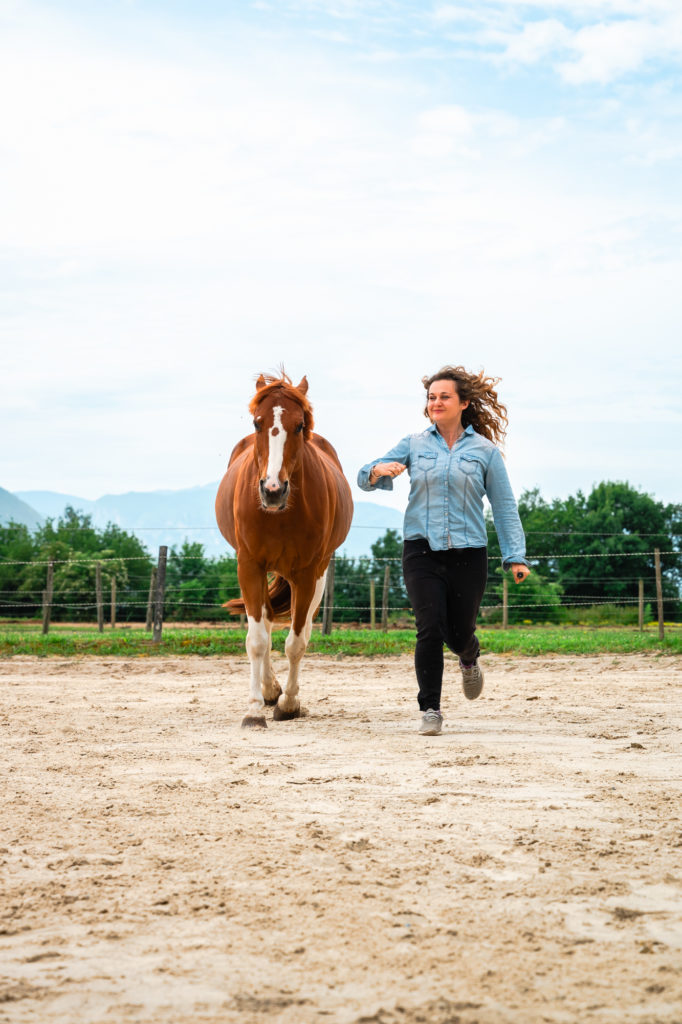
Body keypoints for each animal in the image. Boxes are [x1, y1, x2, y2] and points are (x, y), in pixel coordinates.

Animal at [215, 372, 353, 728]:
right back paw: (267, 690)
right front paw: (254, 710)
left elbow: (296, 643)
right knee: (262, 624)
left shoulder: (307, 574)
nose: (273, 490)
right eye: (257, 422)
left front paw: (289, 704)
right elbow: (257, 640)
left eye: (300, 425)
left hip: (315, 577)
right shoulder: (249, 566)